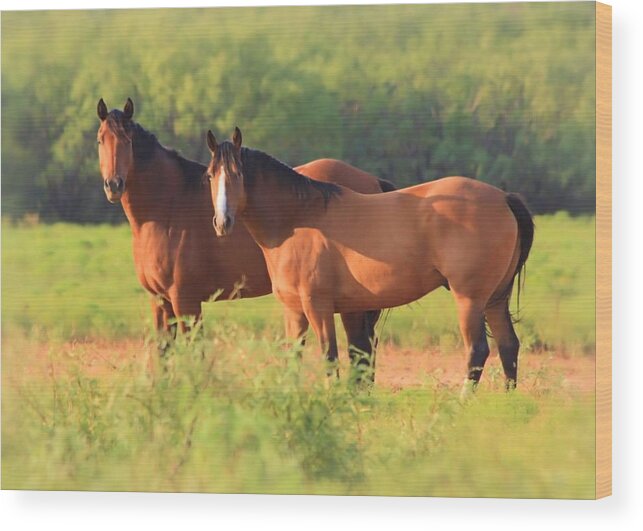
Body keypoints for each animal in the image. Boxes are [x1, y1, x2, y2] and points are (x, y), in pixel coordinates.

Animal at [96, 98, 392, 362]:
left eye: (127, 141)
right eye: (100, 140)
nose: (114, 185)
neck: (168, 208)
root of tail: (373, 182)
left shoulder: (185, 301)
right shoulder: (160, 301)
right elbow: (163, 355)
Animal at [205, 127, 532, 388]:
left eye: (237, 174)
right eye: (210, 175)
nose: (222, 222)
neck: (298, 219)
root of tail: (504, 197)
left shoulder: (317, 306)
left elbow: (329, 357)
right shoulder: (294, 310)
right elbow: (293, 357)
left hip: (469, 299)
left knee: (477, 351)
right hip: (495, 299)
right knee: (508, 347)